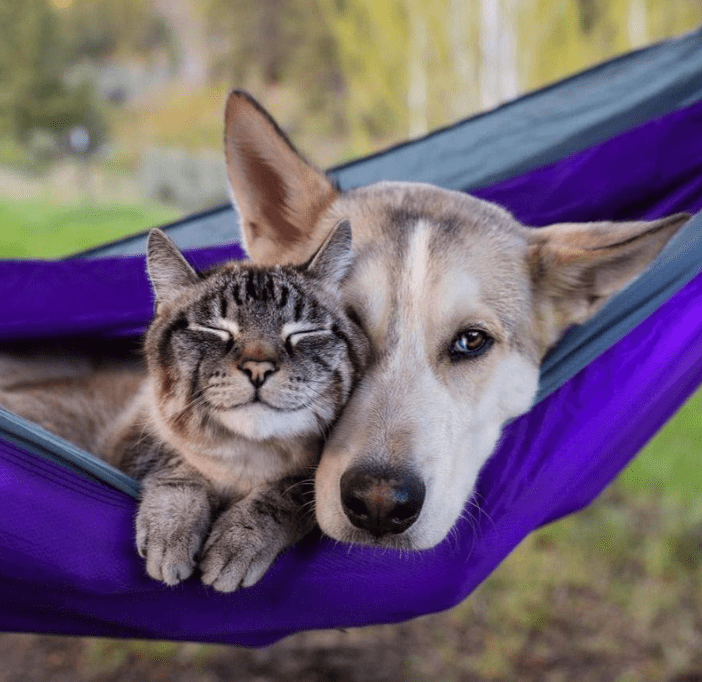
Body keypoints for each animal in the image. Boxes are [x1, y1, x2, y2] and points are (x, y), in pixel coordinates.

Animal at [0, 219, 372, 588]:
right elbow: (180, 468)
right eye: (215, 329)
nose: (258, 368)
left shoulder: (322, 480)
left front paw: (238, 541)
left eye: (302, 332)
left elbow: (285, 494)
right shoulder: (132, 439)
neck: (248, 456)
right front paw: (172, 531)